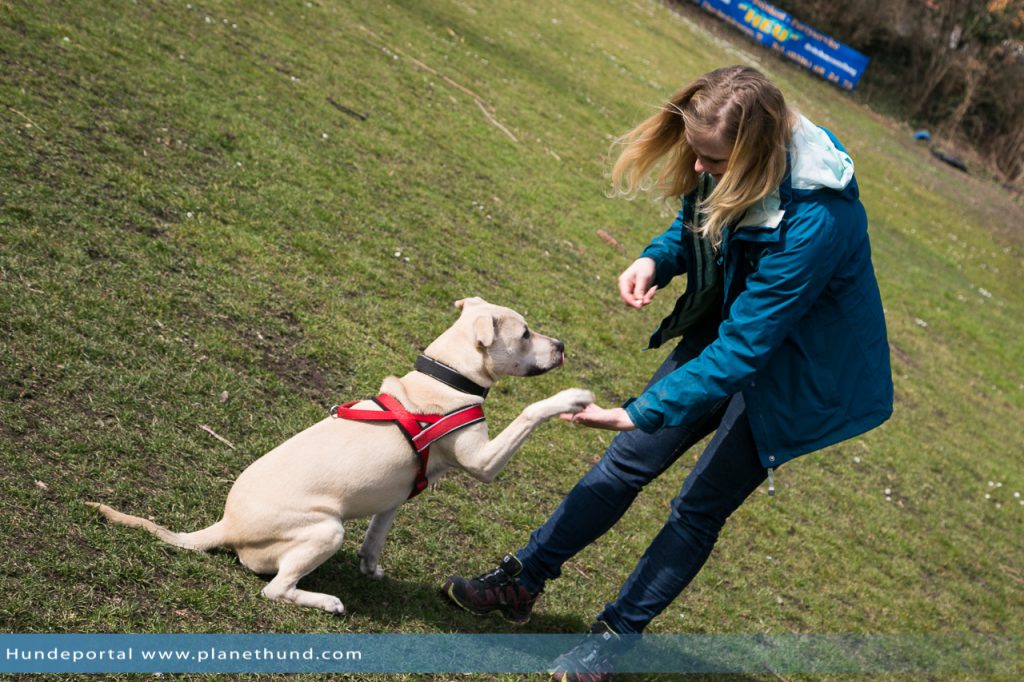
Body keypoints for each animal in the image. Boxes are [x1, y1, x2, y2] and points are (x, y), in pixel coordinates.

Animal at [94, 296, 598, 610]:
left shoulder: (395, 497)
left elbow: (376, 535)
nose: (562, 346)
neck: (446, 377)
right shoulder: (483, 462)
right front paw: (572, 399)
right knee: (275, 590)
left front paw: (371, 568)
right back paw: (327, 602)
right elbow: (530, 411)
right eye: (526, 333)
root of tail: (225, 527)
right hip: (326, 529)